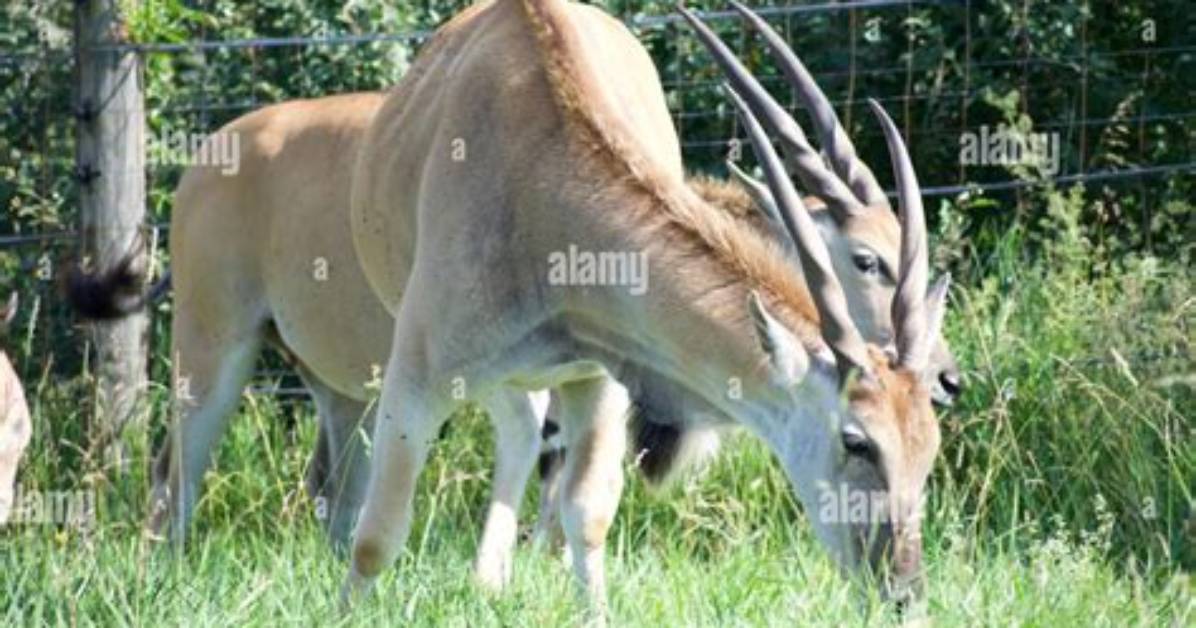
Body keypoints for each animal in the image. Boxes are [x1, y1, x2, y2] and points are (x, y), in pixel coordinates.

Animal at [341, 0, 945, 612]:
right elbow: (375, 538)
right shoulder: (414, 383)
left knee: (522, 430)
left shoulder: (599, 374)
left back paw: (490, 582)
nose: (905, 594)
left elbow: (586, 516)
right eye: (857, 441)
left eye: (929, 449)